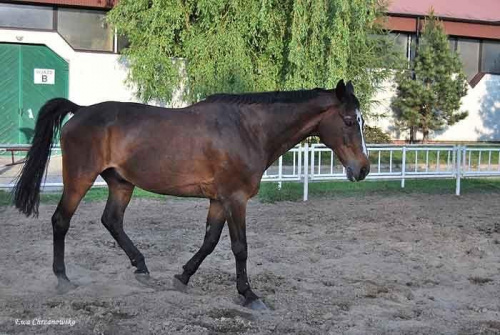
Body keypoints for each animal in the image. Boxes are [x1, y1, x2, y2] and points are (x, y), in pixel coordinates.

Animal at [13, 80, 370, 312]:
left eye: (361, 120)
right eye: (349, 121)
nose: (363, 169)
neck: (248, 130)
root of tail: (81, 110)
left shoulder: (219, 200)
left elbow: (209, 241)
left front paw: (182, 277)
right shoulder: (235, 199)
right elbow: (240, 248)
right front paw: (249, 296)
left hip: (121, 183)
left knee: (111, 220)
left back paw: (142, 268)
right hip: (80, 178)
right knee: (61, 221)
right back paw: (63, 279)